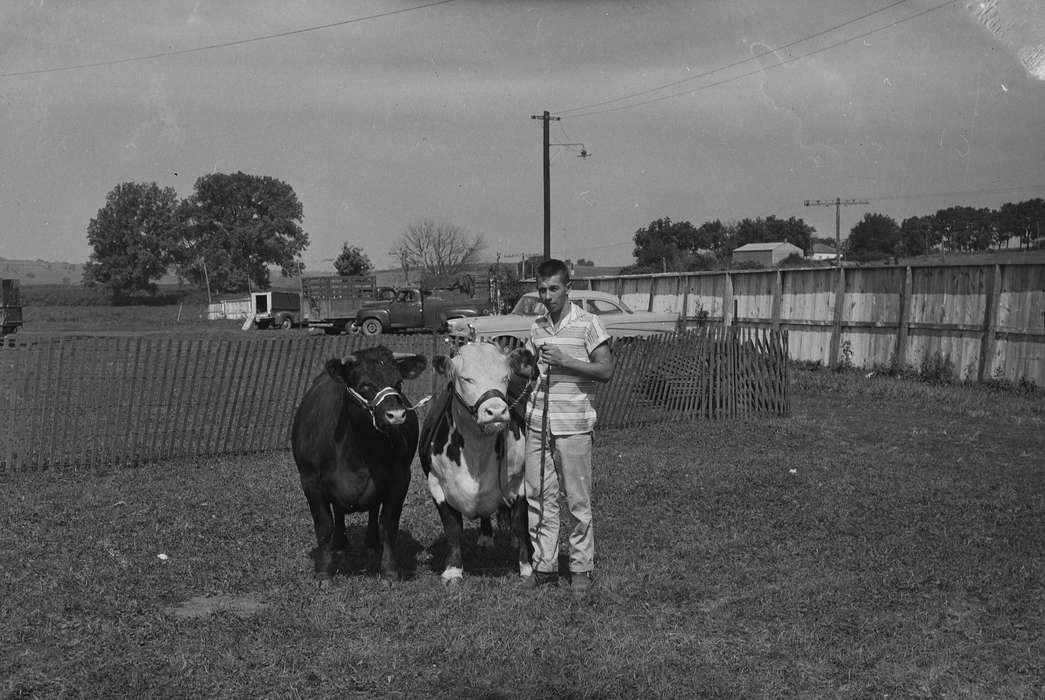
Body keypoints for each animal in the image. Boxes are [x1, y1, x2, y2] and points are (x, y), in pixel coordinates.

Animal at [290, 345, 427, 583]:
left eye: (398, 383)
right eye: (365, 385)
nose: (396, 415)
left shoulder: (400, 479)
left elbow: (388, 524)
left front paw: (389, 571)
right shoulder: (310, 480)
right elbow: (324, 526)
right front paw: (323, 573)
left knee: (373, 510)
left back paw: (372, 542)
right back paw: (339, 543)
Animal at [418, 341, 537, 583]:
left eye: (505, 377)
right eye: (466, 378)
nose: (496, 411)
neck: (477, 452)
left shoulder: (520, 481)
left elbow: (520, 523)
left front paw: (526, 567)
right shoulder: (435, 483)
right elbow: (452, 528)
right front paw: (453, 569)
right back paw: (485, 537)